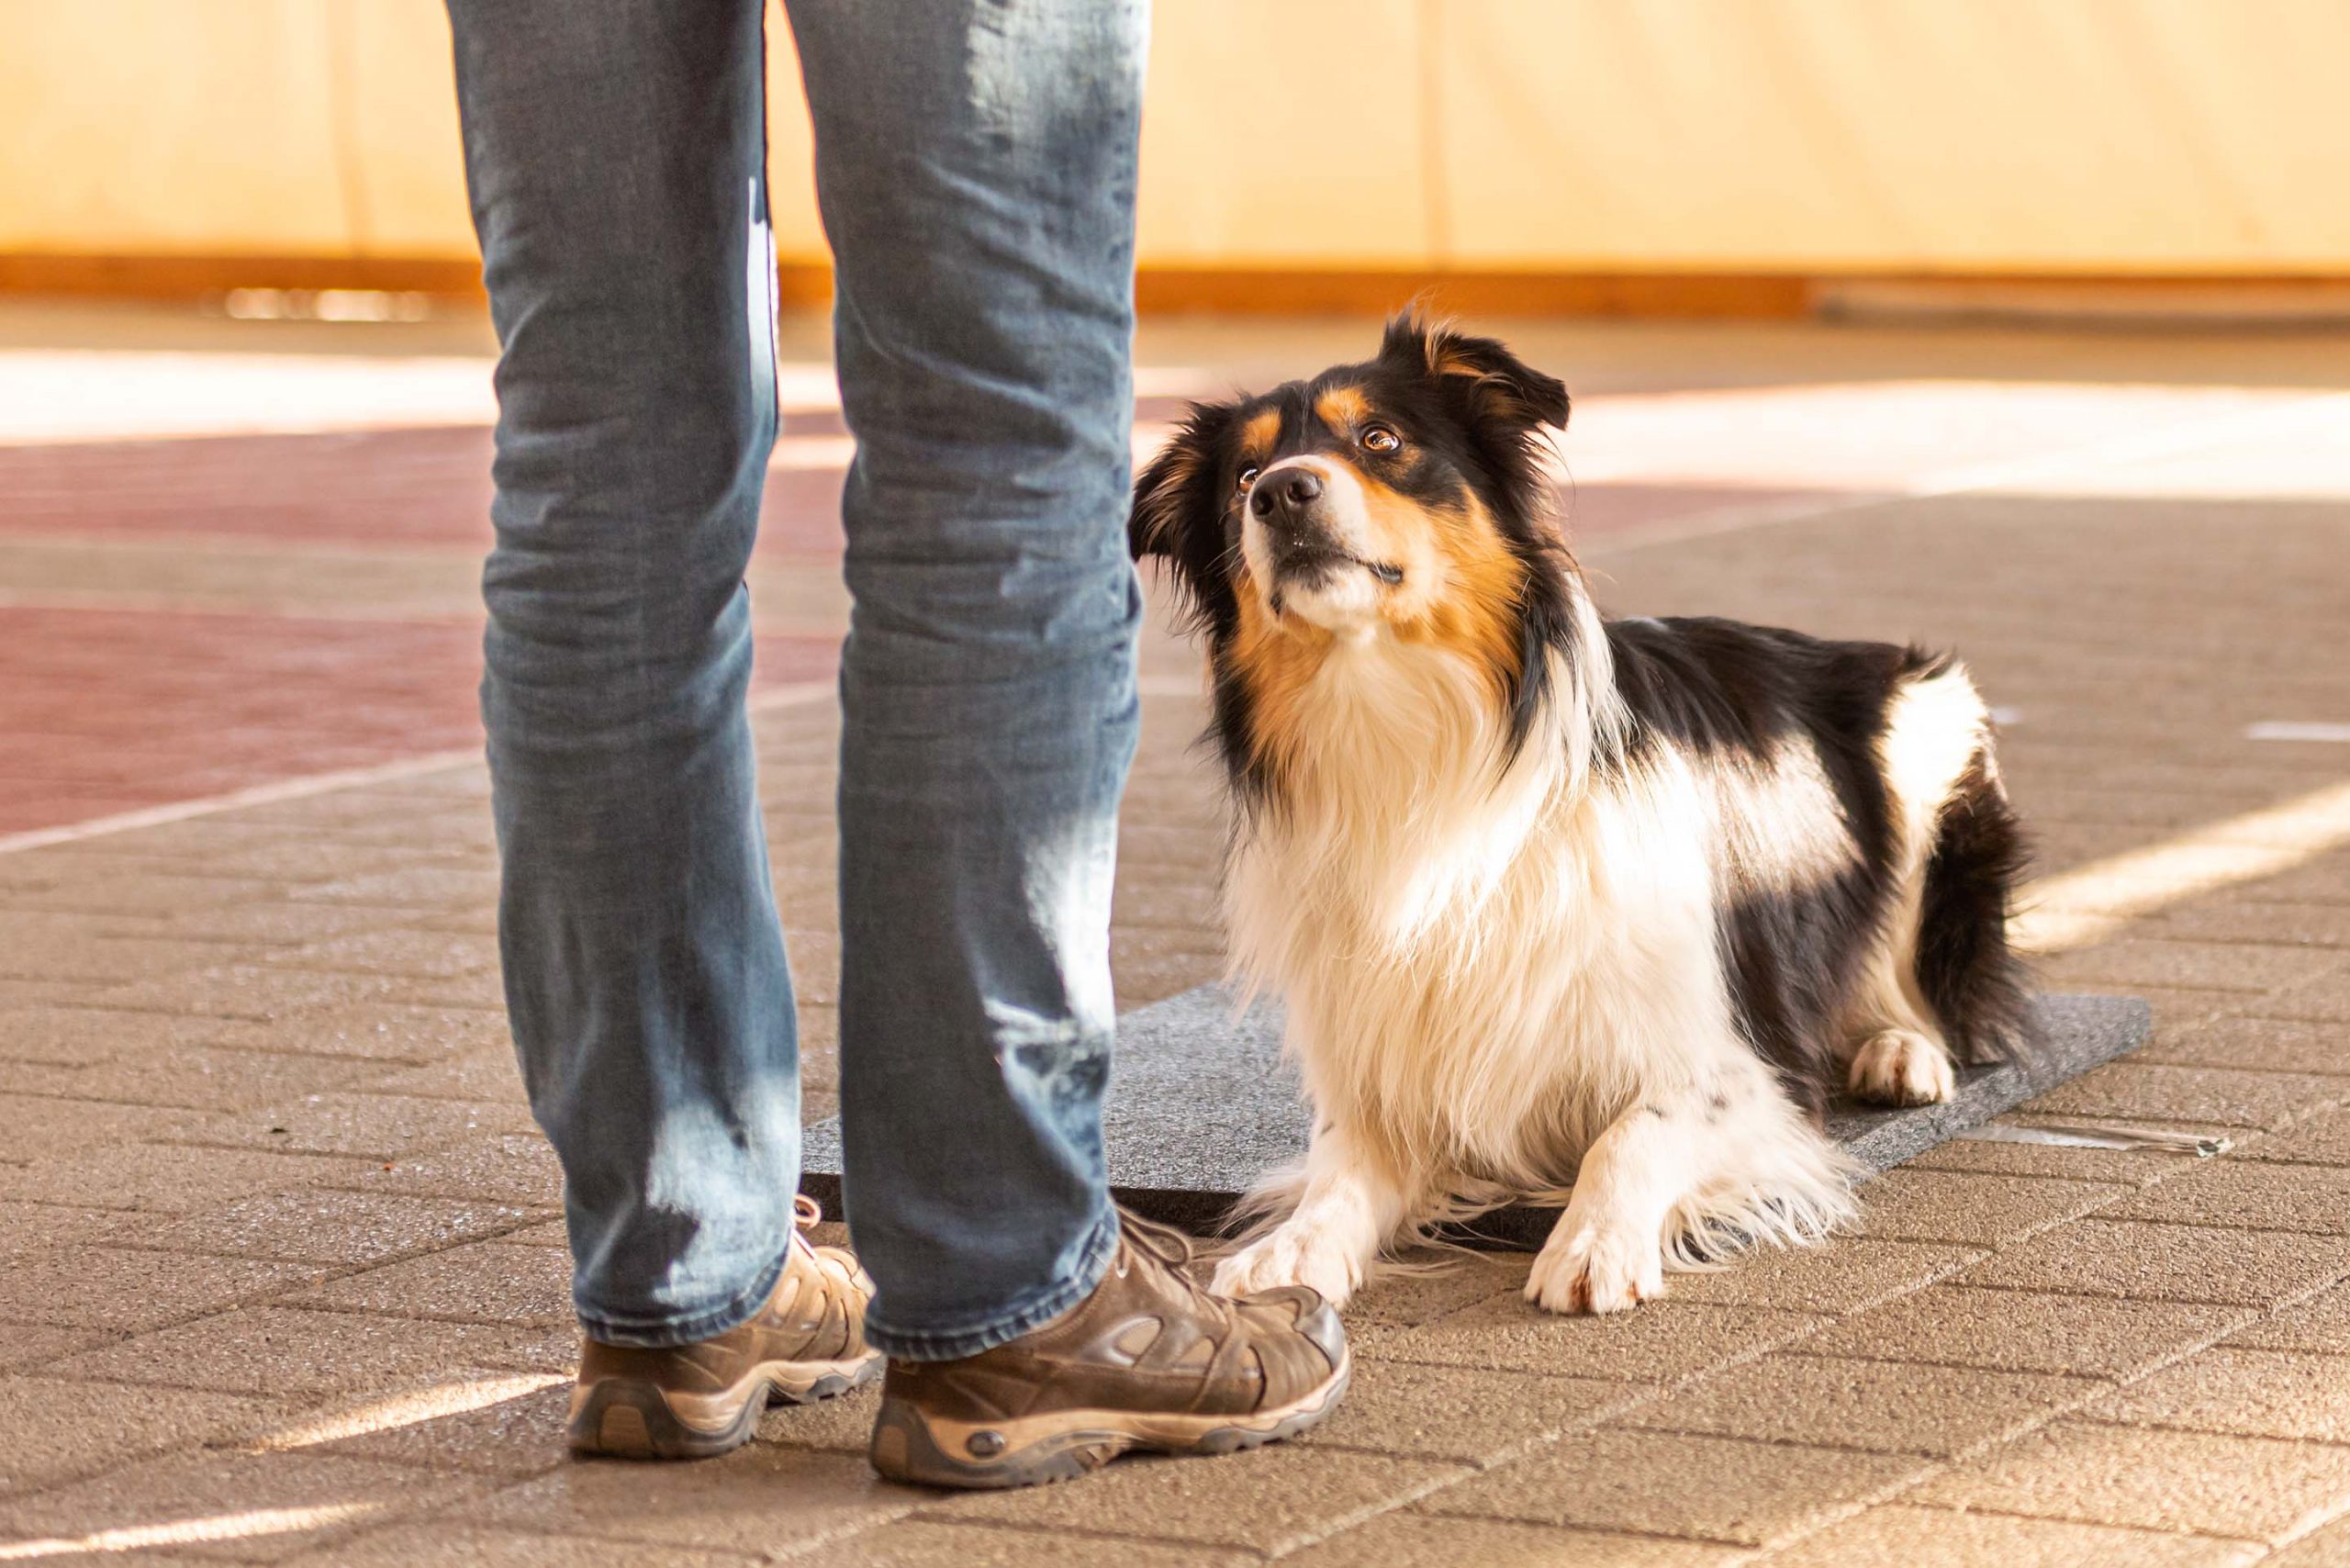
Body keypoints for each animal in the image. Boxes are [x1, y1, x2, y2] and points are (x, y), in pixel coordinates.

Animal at [1127, 312, 2030, 1316]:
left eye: (1380, 439)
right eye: (1242, 476)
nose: (1282, 493)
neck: (1408, 732)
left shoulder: (1732, 1063)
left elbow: (1630, 1132)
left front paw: (1593, 1239)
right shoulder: (1383, 1072)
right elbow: (1339, 1171)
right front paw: (1291, 1248)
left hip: (1929, 734)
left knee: (1928, 980)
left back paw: (1902, 1049)